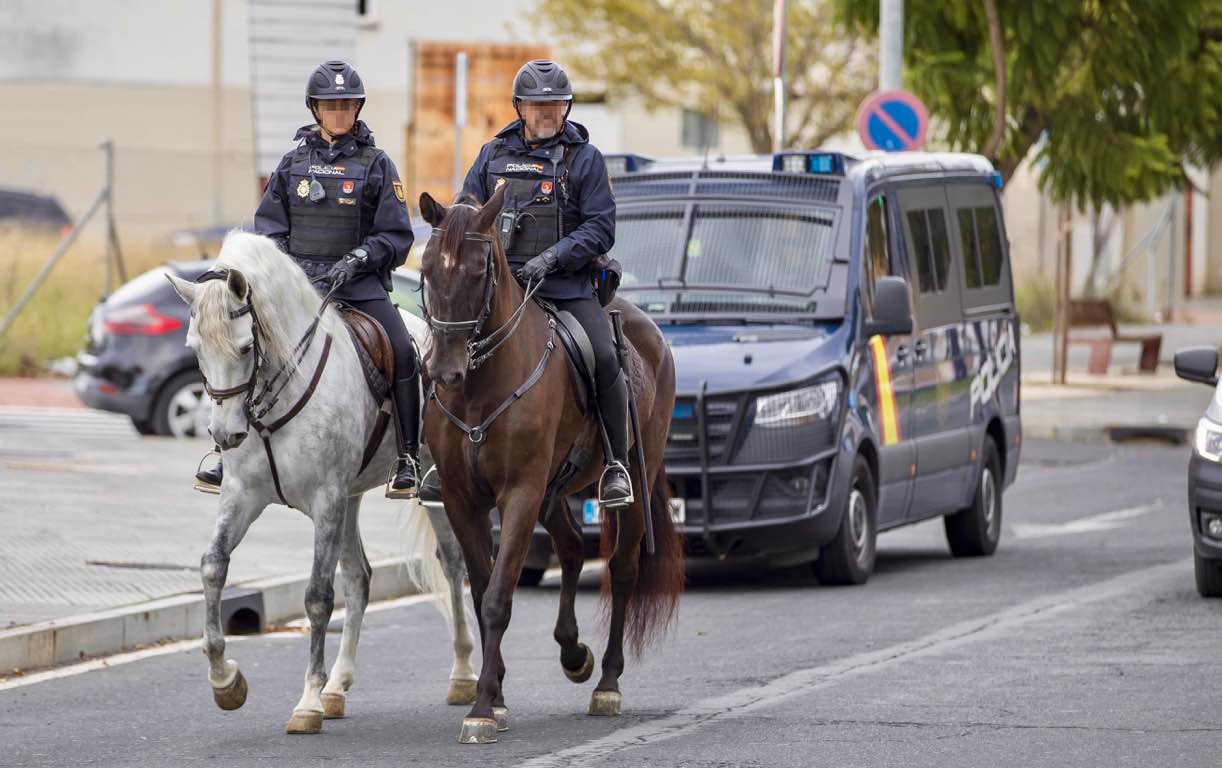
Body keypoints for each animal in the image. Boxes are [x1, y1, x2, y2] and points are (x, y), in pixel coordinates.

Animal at [167, 231, 476, 733]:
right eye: (195, 348)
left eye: (245, 348)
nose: (225, 435)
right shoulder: (243, 496)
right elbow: (212, 566)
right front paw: (225, 680)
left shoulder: (325, 500)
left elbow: (317, 597)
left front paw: (308, 702)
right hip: (351, 498)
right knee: (360, 577)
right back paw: (338, 686)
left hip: (431, 492)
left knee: (451, 564)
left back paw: (464, 675)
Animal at [420, 187, 689, 743]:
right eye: (428, 268)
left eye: (478, 271)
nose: (444, 372)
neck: (481, 388)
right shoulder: (462, 499)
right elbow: (483, 593)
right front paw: (496, 695)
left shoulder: (519, 493)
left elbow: (498, 598)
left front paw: (483, 707)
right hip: (553, 490)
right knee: (569, 547)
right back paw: (573, 652)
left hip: (627, 483)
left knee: (622, 569)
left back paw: (607, 682)